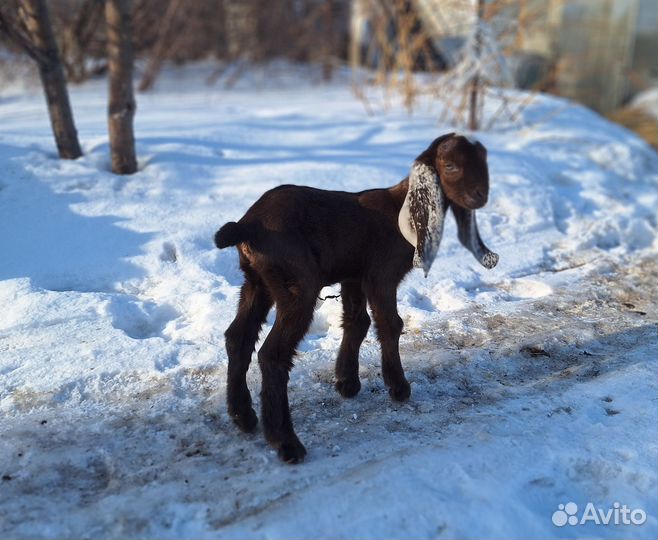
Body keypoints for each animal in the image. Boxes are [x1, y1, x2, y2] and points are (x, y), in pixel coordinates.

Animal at [214, 133, 498, 463]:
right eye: (450, 165)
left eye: (485, 163)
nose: (480, 196)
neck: (401, 208)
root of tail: (248, 225)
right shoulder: (381, 276)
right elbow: (390, 324)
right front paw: (398, 388)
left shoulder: (353, 276)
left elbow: (356, 322)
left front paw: (347, 383)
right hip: (297, 283)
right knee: (272, 354)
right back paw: (286, 443)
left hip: (257, 282)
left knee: (238, 338)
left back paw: (243, 417)